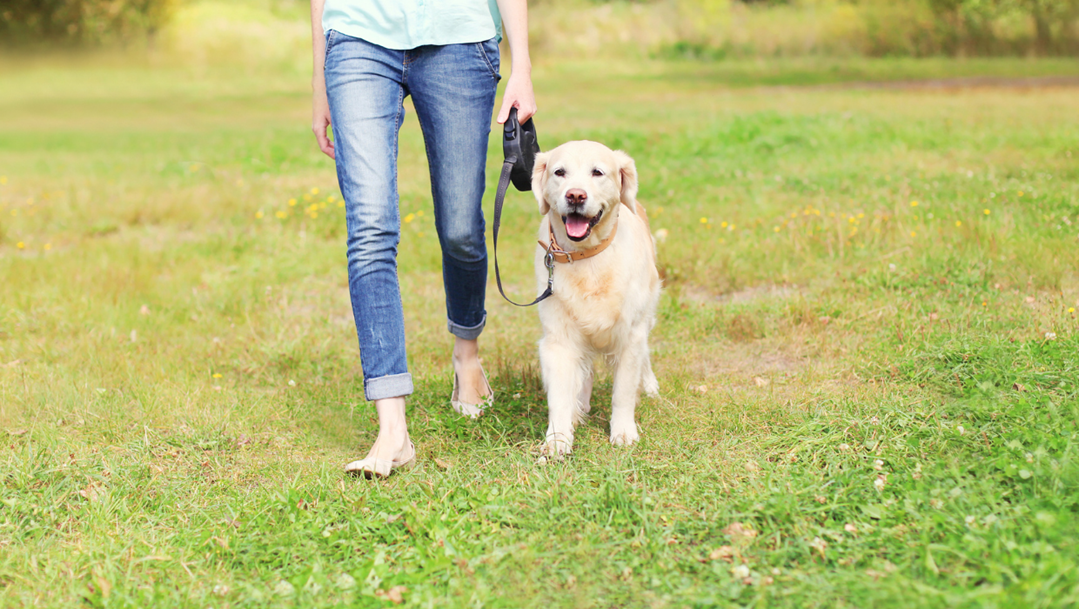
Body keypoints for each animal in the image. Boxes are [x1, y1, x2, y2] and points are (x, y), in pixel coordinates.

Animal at [528, 140, 660, 459]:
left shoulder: (631, 335)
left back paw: (649, 384)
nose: (575, 195)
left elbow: (623, 392)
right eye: (559, 172)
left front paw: (623, 432)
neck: (587, 257)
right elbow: (560, 395)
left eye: (597, 172)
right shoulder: (558, 339)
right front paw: (558, 439)